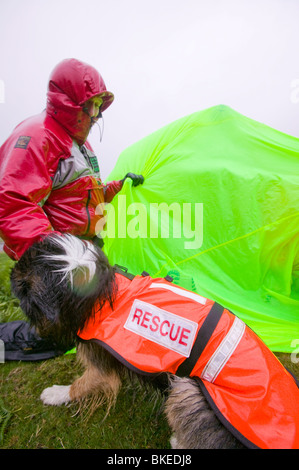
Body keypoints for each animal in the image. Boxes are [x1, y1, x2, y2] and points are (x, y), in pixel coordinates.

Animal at [9, 234, 299, 448]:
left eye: (24, 284)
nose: (10, 275)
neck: (101, 295)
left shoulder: (101, 369)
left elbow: (80, 385)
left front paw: (55, 394)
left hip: (188, 391)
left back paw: (177, 441)